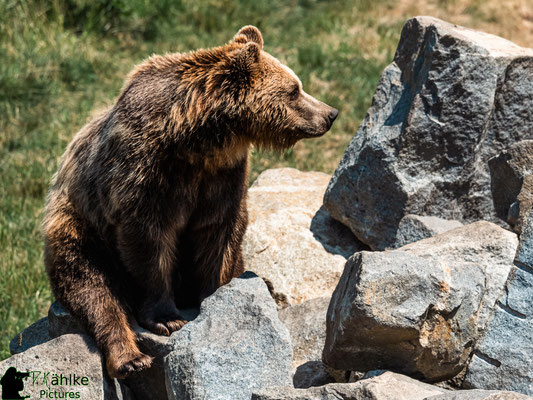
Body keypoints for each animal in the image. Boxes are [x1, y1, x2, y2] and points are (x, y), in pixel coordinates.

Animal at [44, 26, 336, 380]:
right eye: (294, 90)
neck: (197, 141)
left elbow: (218, 235)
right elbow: (148, 242)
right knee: (93, 290)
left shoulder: (223, 175)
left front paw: (218, 295)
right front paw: (167, 318)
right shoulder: (145, 173)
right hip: (79, 228)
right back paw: (130, 358)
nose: (330, 114)